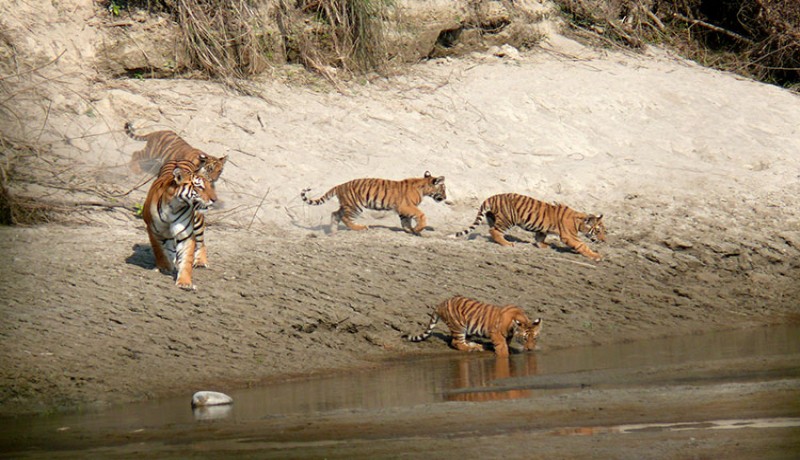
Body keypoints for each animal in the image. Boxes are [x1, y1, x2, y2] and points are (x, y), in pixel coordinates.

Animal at [141, 156, 216, 290]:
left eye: (209, 186)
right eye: (200, 187)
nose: (214, 199)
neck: (174, 206)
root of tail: (179, 159)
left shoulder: (186, 235)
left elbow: (186, 260)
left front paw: (185, 282)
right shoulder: (153, 230)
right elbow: (159, 250)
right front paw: (165, 267)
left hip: (198, 221)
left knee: (201, 242)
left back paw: (201, 262)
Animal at [302, 171, 446, 234]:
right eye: (443, 188)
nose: (445, 197)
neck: (424, 187)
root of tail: (339, 186)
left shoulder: (403, 209)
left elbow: (406, 221)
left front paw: (410, 230)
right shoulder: (407, 206)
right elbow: (421, 215)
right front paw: (418, 229)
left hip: (346, 205)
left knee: (335, 214)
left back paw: (333, 231)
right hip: (355, 206)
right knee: (345, 218)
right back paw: (361, 228)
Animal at [404, 294, 540, 360]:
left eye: (535, 338)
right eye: (524, 338)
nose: (530, 349)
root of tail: (440, 304)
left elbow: (506, 343)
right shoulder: (495, 333)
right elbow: (501, 346)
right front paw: (504, 355)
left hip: (467, 329)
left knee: (464, 340)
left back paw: (477, 346)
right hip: (459, 326)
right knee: (456, 342)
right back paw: (472, 349)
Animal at [454, 192, 604, 260]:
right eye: (598, 231)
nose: (604, 240)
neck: (579, 222)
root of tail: (491, 197)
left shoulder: (542, 229)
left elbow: (540, 237)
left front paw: (543, 246)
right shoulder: (570, 236)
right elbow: (582, 245)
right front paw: (596, 255)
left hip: (493, 217)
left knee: (492, 231)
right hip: (508, 219)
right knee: (494, 231)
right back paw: (508, 244)